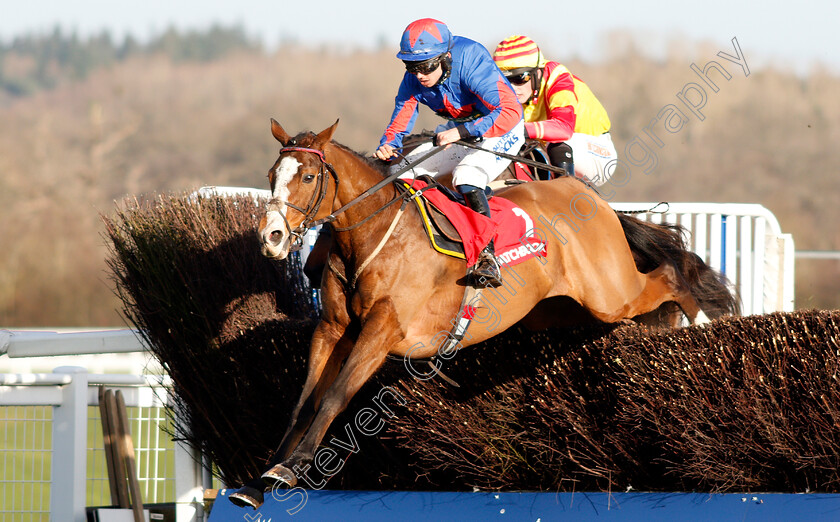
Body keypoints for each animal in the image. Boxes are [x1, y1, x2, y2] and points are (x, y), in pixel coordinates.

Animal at [230, 118, 736, 504]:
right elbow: (304, 401)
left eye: (308, 177)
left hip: (610, 293)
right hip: (565, 310)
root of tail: (592, 197)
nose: (272, 236)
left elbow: (335, 396)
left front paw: (292, 468)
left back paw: (703, 325)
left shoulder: (382, 330)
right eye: (272, 173)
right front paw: (260, 481)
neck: (374, 237)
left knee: (669, 276)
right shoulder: (333, 328)